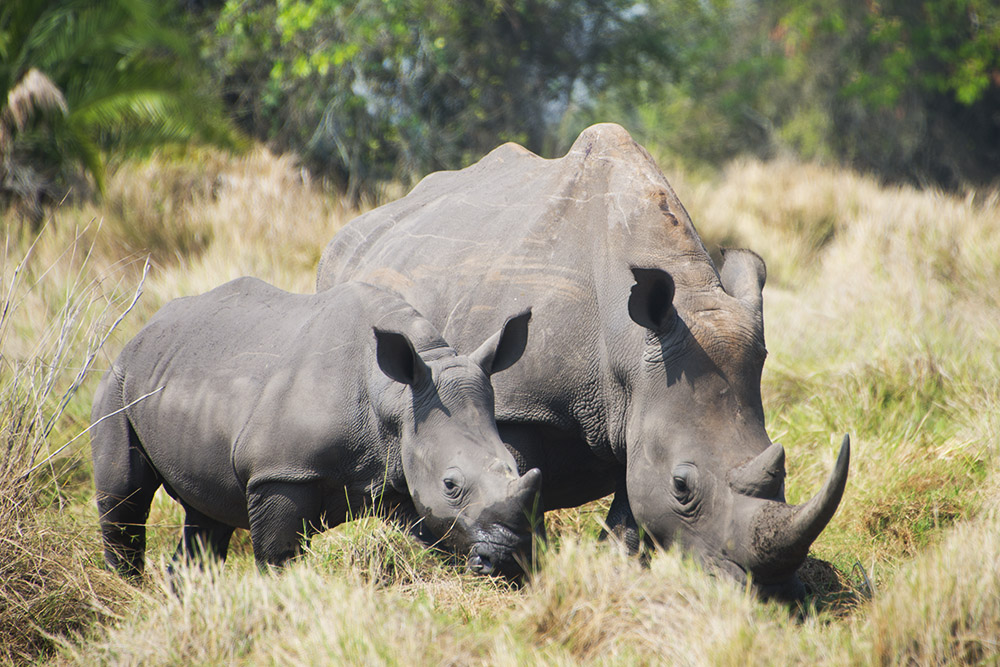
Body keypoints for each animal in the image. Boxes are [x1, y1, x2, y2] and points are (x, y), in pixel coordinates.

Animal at [91, 277, 541, 579]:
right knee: (124, 496)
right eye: (451, 484)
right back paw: (126, 592)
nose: (505, 559)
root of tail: (141, 333)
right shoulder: (280, 474)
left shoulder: (400, 472)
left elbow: (436, 536)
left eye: (515, 466)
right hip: (117, 383)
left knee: (205, 516)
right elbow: (278, 557)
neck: (395, 397)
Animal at [316, 123, 849, 601]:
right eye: (682, 486)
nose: (773, 595)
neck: (630, 345)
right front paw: (511, 577)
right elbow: (513, 483)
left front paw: (617, 569)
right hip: (343, 276)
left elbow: (631, 502)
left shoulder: (641, 406)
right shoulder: (518, 403)